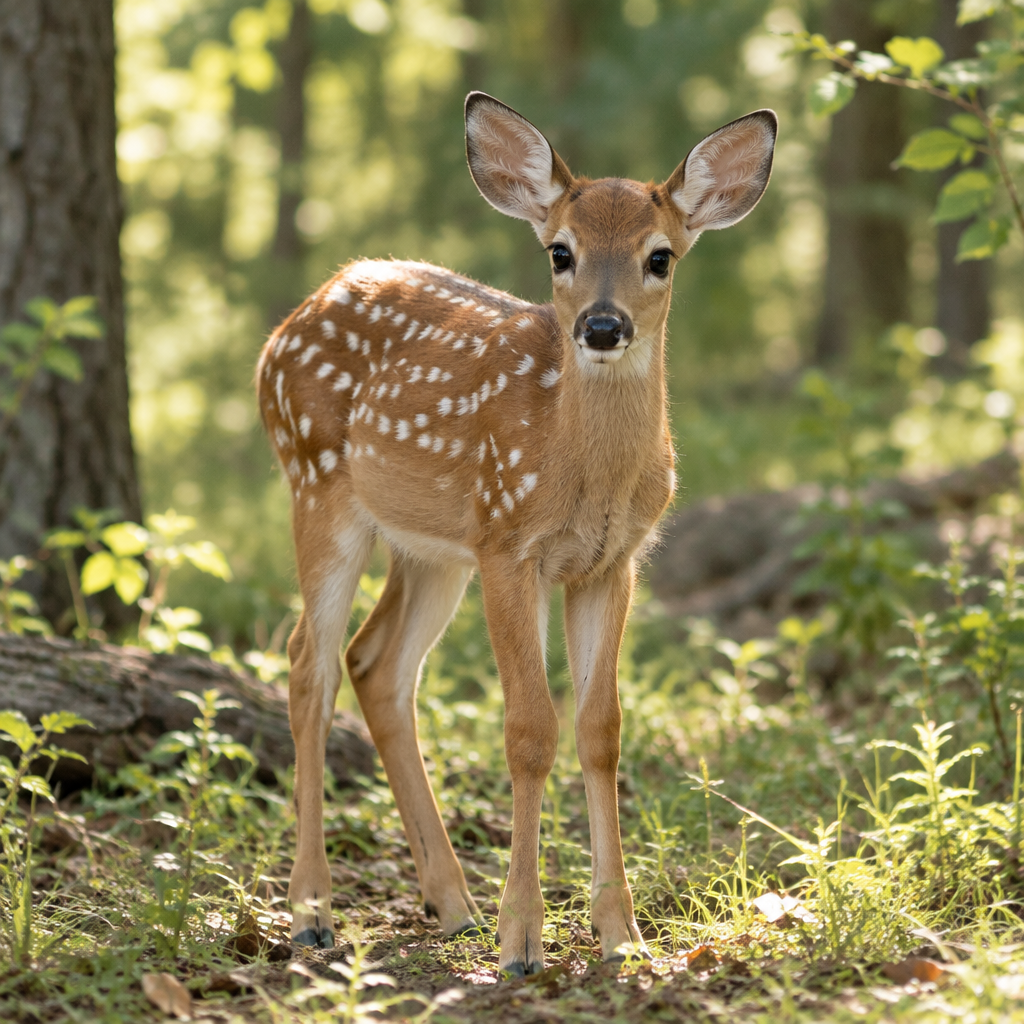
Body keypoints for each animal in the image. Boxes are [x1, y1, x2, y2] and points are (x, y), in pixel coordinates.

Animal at [257, 92, 776, 976]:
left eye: (661, 256)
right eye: (560, 251)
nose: (601, 327)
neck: (580, 468)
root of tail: (288, 324)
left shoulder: (612, 561)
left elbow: (600, 729)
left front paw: (621, 932)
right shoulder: (510, 546)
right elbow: (530, 729)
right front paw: (523, 938)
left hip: (432, 548)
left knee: (377, 664)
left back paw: (451, 902)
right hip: (317, 484)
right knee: (307, 666)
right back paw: (313, 913)